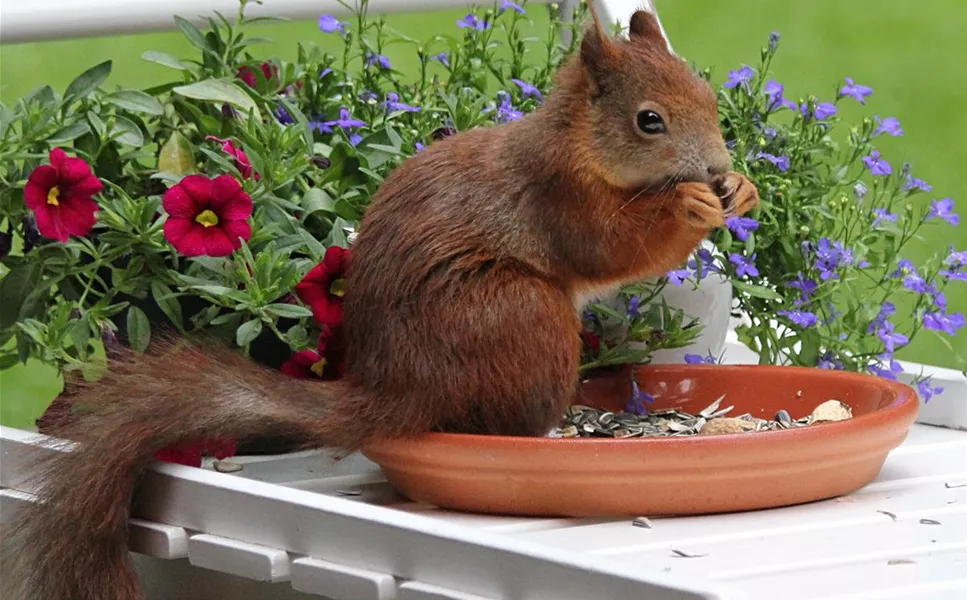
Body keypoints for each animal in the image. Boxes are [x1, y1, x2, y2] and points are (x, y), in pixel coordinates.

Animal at [2, 9, 758, 600]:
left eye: (706, 94)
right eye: (648, 121)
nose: (718, 169)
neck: (578, 145)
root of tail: (396, 390)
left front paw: (742, 190)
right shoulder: (558, 195)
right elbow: (607, 248)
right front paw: (689, 206)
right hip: (519, 311)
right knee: (501, 423)